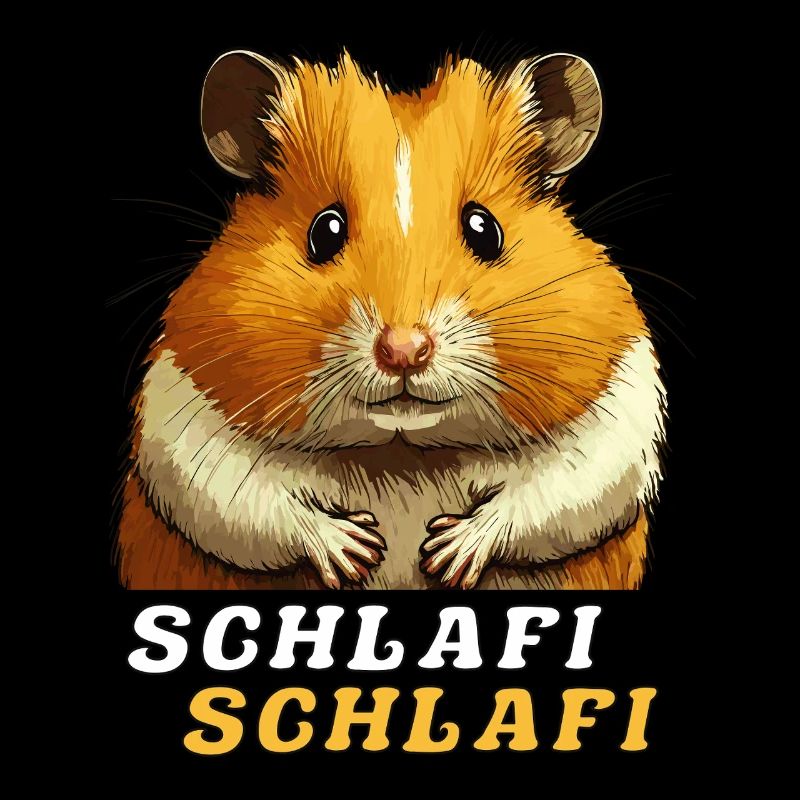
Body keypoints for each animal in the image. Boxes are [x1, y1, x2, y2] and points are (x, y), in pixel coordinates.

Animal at [115, 49, 666, 590]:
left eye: (485, 229)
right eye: (325, 230)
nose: (404, 351)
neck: (400, 453)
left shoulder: (616, 416)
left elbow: (553, 494)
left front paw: (445, 554)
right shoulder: (184, 421)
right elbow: (251, 506)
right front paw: (360, 551)